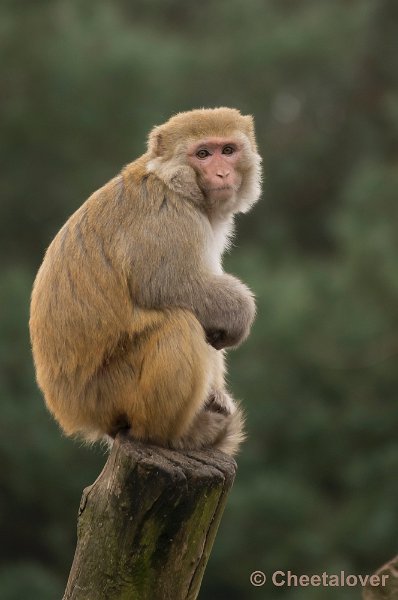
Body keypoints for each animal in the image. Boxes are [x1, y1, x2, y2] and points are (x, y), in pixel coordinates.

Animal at [29, 106, 262, 454]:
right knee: (180, 324)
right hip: (106, 394)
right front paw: (240, 313)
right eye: (203, 154)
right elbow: (170, 286)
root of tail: (70, 412)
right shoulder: (168, 217)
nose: (222, 173)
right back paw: (170, 434)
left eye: (228, 150)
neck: (175, 182)